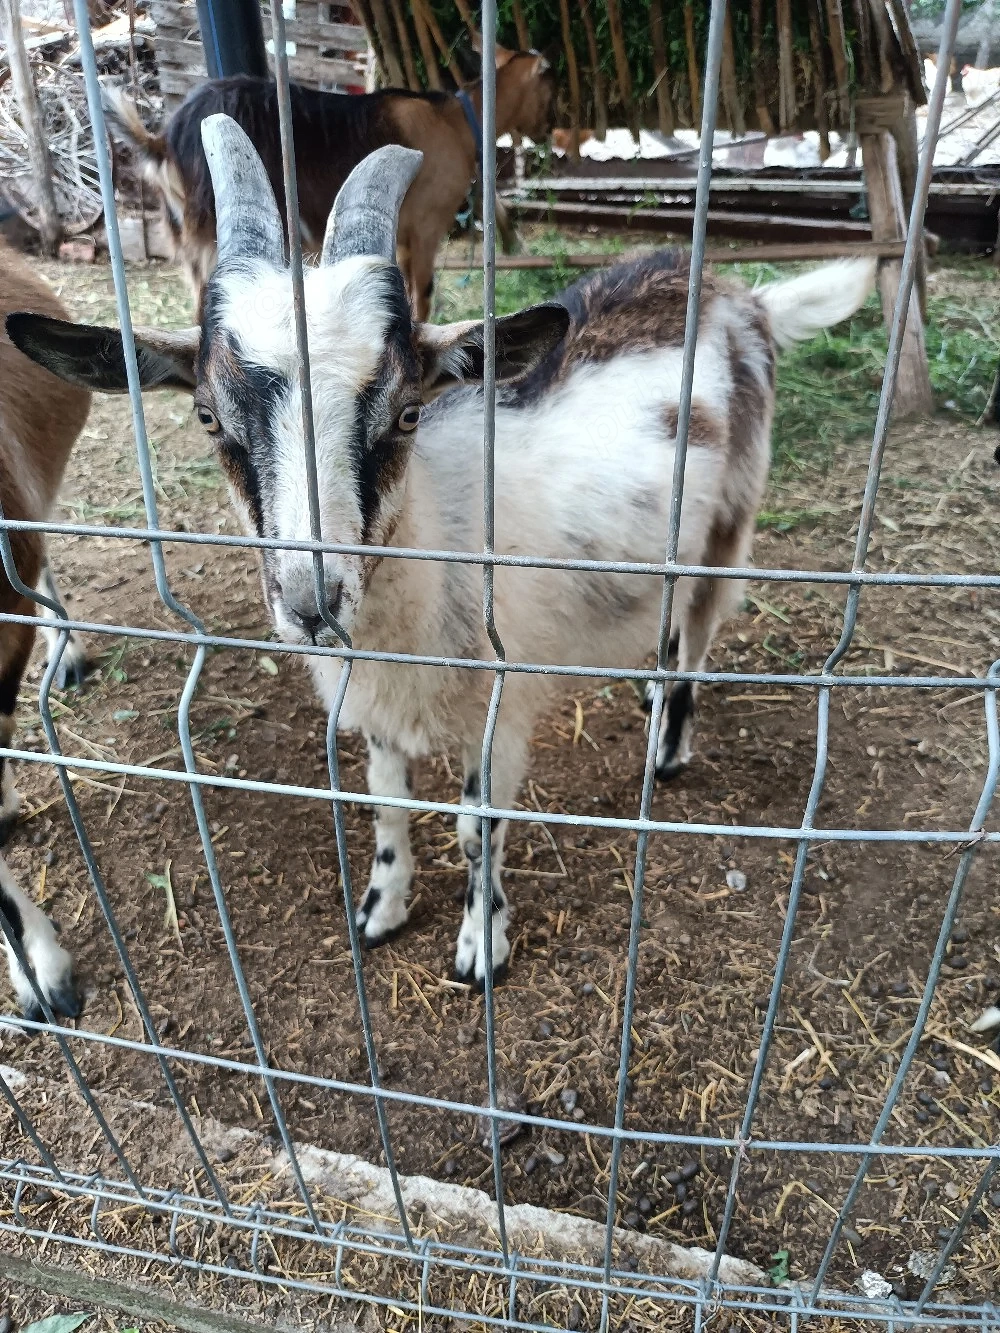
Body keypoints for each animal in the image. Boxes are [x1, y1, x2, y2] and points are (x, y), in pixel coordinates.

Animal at [8, 118, 876, 986]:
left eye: (406, 413)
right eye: (208, 416)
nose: (313, 601)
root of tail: (744, 296)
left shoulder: (503, 710)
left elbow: (474, 827)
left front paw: (480, 943)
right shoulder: (377, 707)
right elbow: (387, 802)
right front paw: (382, 909)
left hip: (730, 517)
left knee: (698, 631)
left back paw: (668, 743)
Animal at [103, 50, 556, 319]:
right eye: (549, 89)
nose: (549, 129)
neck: (457, 121)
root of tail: (164, 141)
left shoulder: (402, 237)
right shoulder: (427, 228)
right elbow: (422, 298)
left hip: (188, 241)